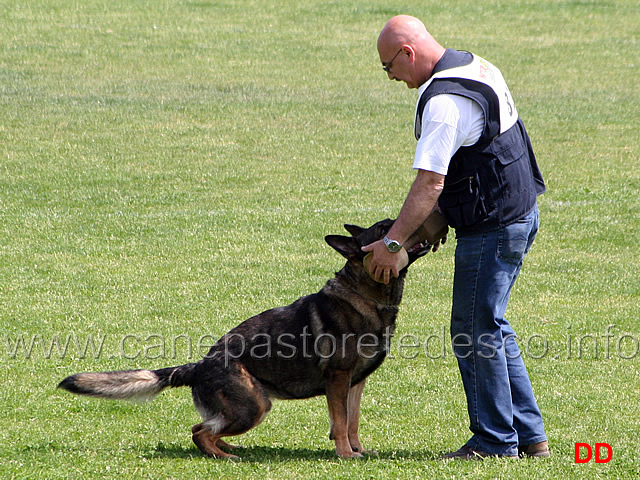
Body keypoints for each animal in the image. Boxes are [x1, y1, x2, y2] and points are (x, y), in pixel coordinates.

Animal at [58, 219, 436, 460]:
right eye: (385, 230)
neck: (365, 294)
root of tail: (198, 365)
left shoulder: (356, 383)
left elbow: (353, 420)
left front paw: (358, 450)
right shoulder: (338, 379)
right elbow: (340, 421)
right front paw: (345, 454)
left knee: (207, 427)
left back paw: (230, 449)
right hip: (254, 406)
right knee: (199, 431)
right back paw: (224, 456)